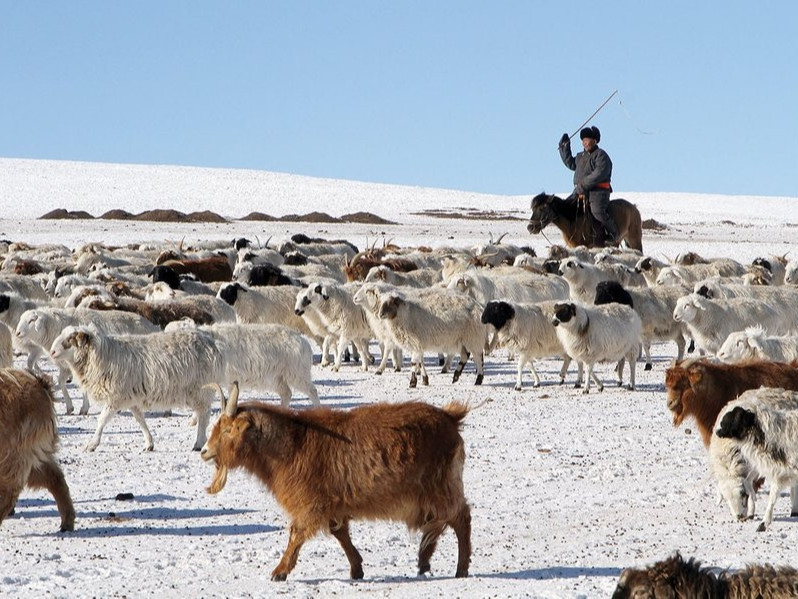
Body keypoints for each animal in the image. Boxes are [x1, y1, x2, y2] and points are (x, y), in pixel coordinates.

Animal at [0, 370, 75, 536]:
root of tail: (39, 383)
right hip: (32, 453)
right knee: (54, 477)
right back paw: (67, 521)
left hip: (15, 452)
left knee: (10, 489)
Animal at [203, 384, 472, 580]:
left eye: (227, 430)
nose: (204, 451)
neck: (292, 444)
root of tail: (450, 417)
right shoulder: (333, 503)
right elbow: (339, 533)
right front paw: (357, 569)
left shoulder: (311, 502)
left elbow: (297, 533)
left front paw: (280, 571)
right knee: (438, 522)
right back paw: (424, 560)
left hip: (441, 486)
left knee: (460, 517)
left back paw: (460, 568)